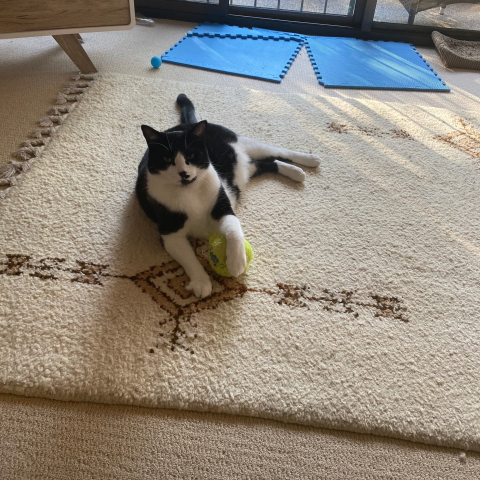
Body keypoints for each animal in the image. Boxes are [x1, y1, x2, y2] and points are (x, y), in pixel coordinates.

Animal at [137, 93, 320, 296]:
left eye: (191, 155)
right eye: (167, 159)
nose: (183, 173)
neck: (190, 192)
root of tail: (188, 125)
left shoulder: (222, 207)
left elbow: (233, 230)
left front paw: (236, 262)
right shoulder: (170, 232)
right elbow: (189, 258)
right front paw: (201, 282)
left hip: (243, 143)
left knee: (276, 151)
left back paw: (309, 160)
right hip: (245, 170)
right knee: (267, 163)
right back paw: (296, 173)